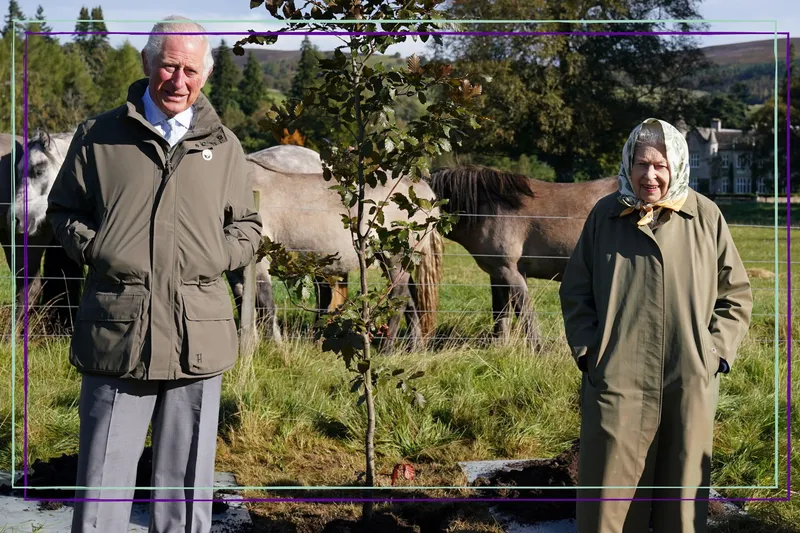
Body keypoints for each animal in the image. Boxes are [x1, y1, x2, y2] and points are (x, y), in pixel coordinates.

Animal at [432, 165, 620, 350]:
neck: (489, 209)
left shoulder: (510, 272)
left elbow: (525, 313)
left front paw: (538, 349)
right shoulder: (497, 274)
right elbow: (501, 313)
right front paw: (500, 347)